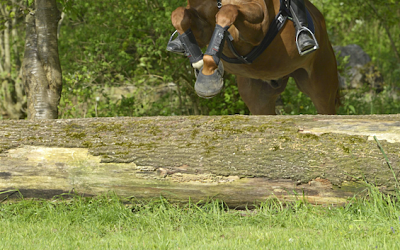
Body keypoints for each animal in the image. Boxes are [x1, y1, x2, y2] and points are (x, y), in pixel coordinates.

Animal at [170, 0, 340, 114]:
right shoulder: (202, 26)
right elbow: (178, 16)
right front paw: (202, 69)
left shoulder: (257, 25)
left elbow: (227, 11)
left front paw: (208, 74)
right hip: (259, 96)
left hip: (321, 84)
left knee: (325, 107)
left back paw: (305, 39)